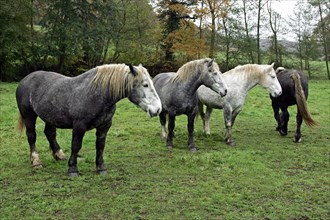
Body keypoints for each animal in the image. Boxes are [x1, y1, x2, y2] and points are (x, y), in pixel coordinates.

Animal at [16, 62, 161, 176]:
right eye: (145, 85)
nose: (158, 109)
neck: (97, 94)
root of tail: (25, 80)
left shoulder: (104, 125)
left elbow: (100, 146)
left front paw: (101, 168)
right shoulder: (79, 126)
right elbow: (76, 146)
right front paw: (73, 169)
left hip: (50, 117)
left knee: (50, 133)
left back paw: (59, 155)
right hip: (29, 115)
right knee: (31, 136)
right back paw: (36, 161)